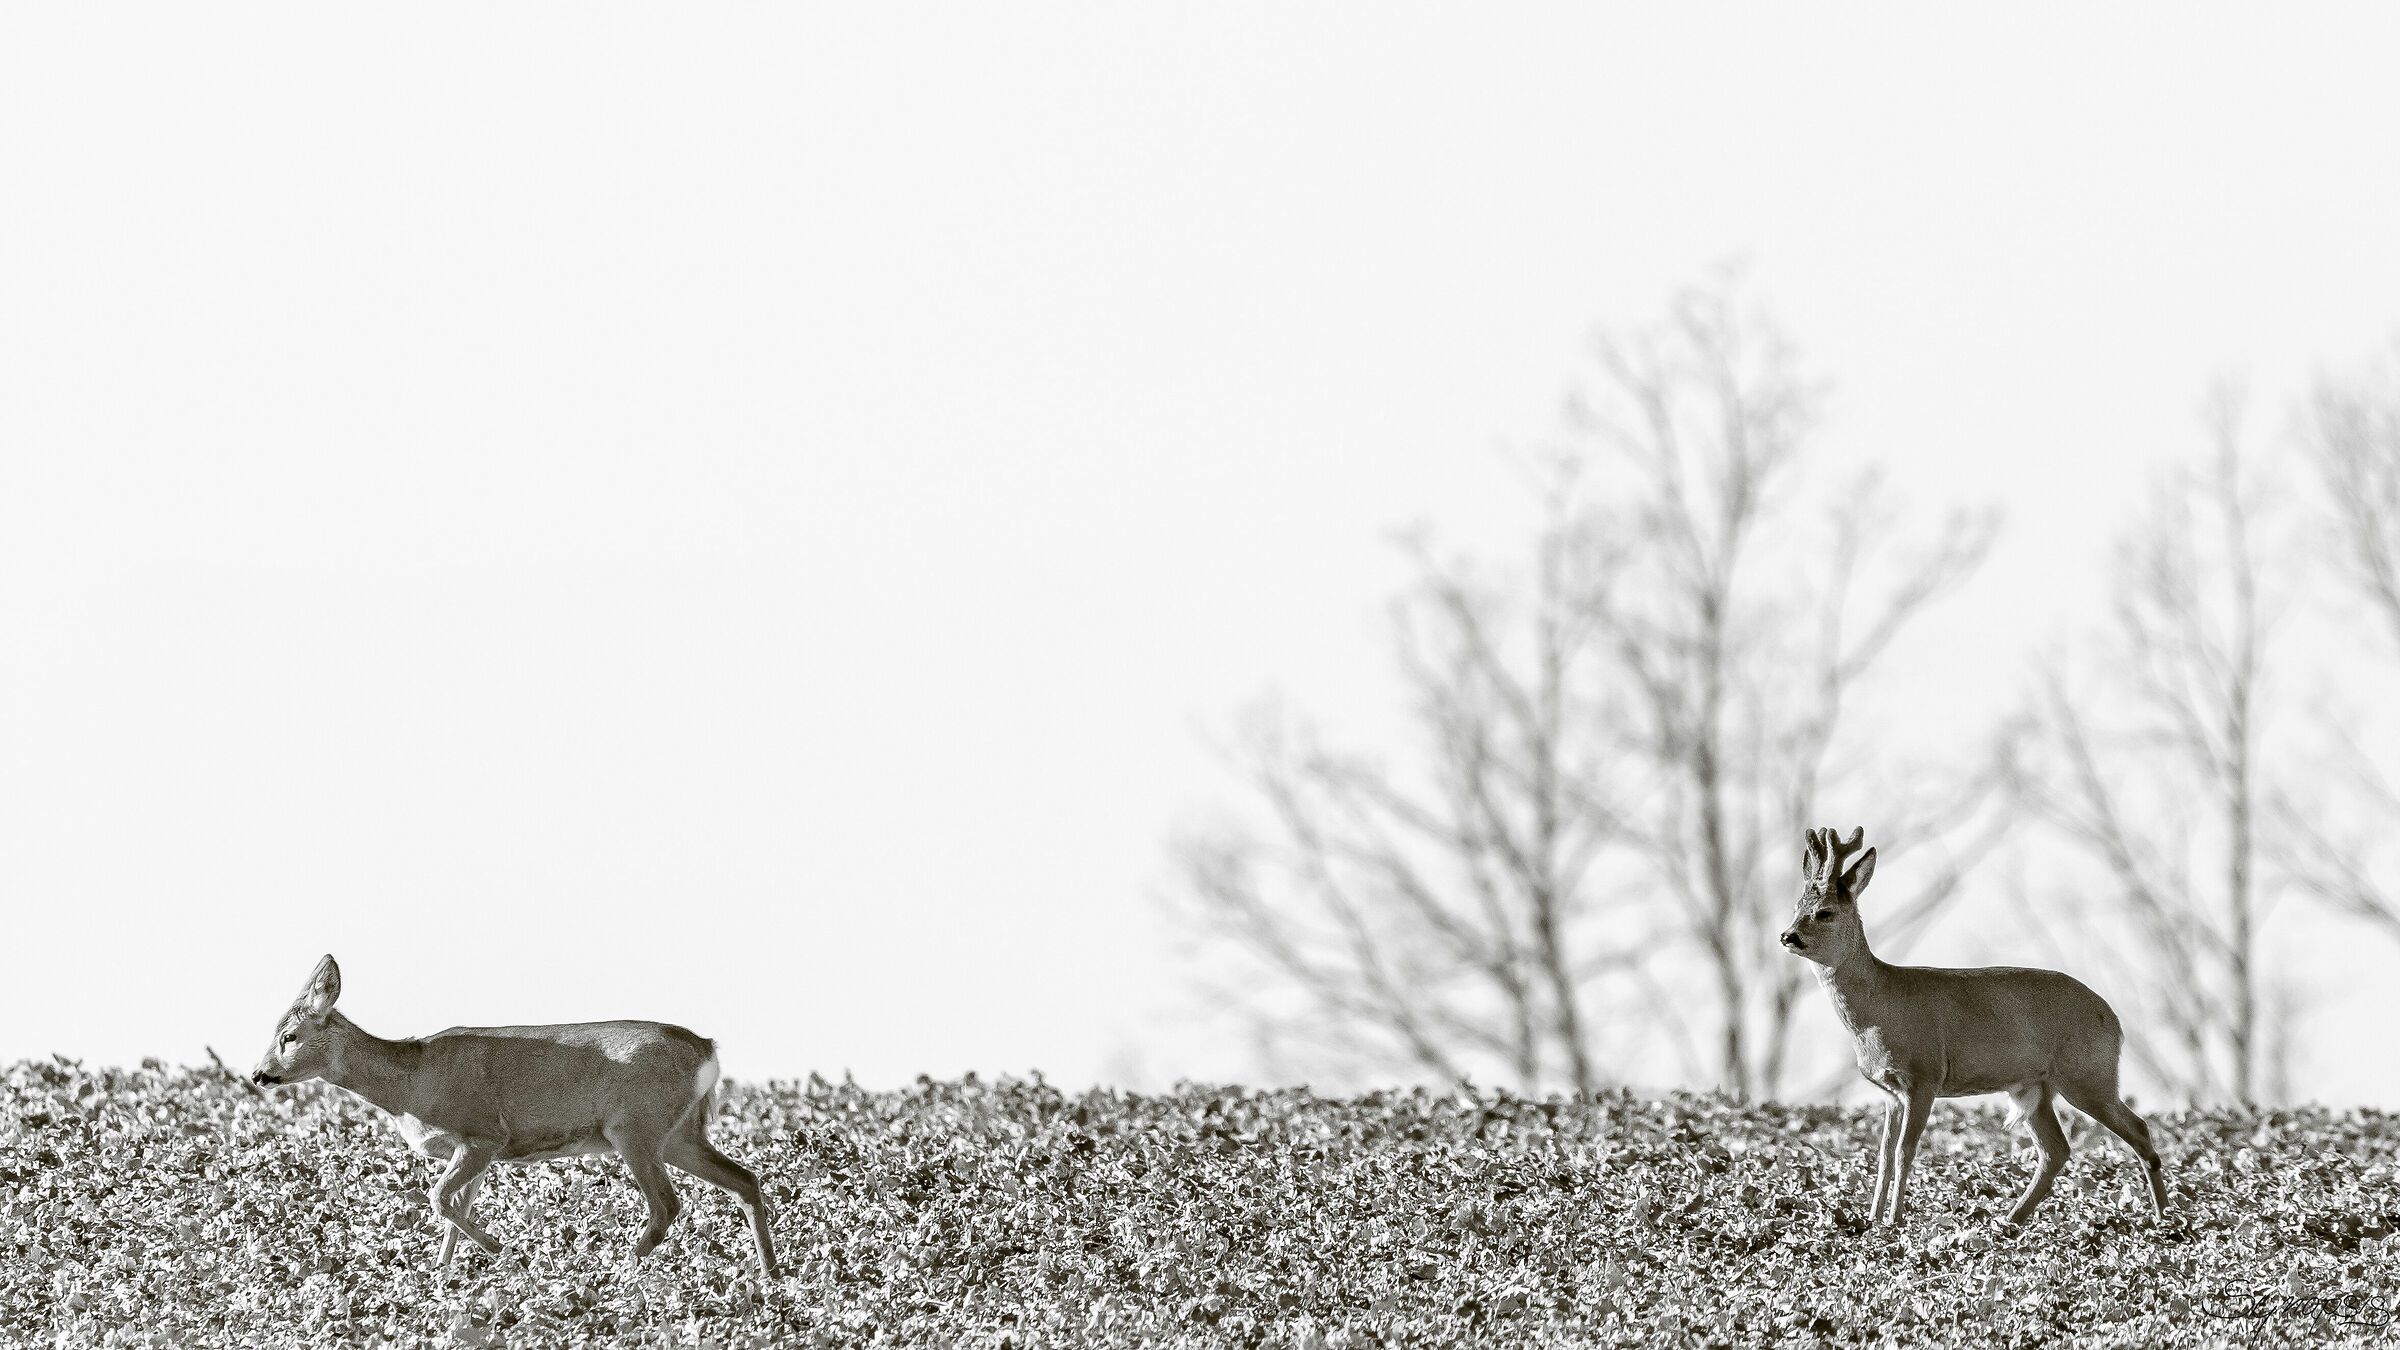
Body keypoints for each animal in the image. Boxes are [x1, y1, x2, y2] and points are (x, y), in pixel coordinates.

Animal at [251, 955, 778, 1279]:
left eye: (289, 1036)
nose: (258, 1074)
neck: (410, 1081)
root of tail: (707, 1049)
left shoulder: (482, 1134)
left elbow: (439, 1198)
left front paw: (505, 1252)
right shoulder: (477, 1150)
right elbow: (454, 1209)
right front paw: (439, 1276)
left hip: (635, 1128)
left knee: (667, 1204)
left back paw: (617, 1270)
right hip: (680, 1134)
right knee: (744, 1180)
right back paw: (771, 1277)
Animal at [1780, 828, 2168, 1229]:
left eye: (1824, 912)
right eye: (1795, 908)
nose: (1787, 936)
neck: (1879, 1009)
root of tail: (2114, 1019)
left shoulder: (1925, 1075)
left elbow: (1905, 1150)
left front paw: (1895, 1220)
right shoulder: (1890, 1091)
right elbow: (1883, 1155)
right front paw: (1872, 1218)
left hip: (2088, 1074)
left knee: (2138, 1128)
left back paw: (2164, 1217)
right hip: (2033, 1086)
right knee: (2056, 1150)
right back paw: (2010, 1220)